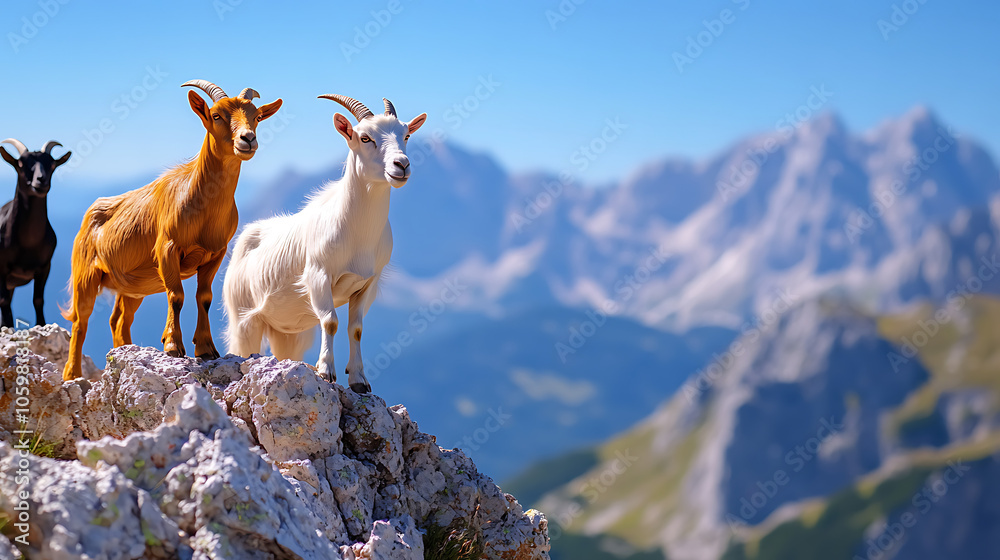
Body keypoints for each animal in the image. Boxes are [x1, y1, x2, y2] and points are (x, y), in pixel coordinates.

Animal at [0, 139, 70, 328]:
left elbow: (38, 300)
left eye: (52, 164)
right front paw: (8, 327)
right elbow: (4, 302)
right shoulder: (2, 267)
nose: (40, 181)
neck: (29, 243)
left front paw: (42, 325)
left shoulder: (44, 267)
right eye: (21, 164)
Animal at [62, 80, 282, 380]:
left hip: (133, 286)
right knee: (80, 321)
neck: (201, 202)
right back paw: (72, 374)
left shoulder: (215, 255)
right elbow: (176, 296)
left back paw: (124, 353)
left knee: (119, 320)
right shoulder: (167, 249)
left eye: (257, 116)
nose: (247, 139)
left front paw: (206, 349)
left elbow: (204, 297)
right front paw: (173, 346)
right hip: (85, 273)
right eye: (216, 115)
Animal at [223, 95, 426, 393]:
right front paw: (326, 371)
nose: (401, 165)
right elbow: (330, 322)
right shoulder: (319, 275)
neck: (357, 234)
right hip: (244, 319)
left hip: (288, 333)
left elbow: (356, 328)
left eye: (406, 135)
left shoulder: (367, 284)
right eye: (365, 137)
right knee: (242, 345)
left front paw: (359, 380)